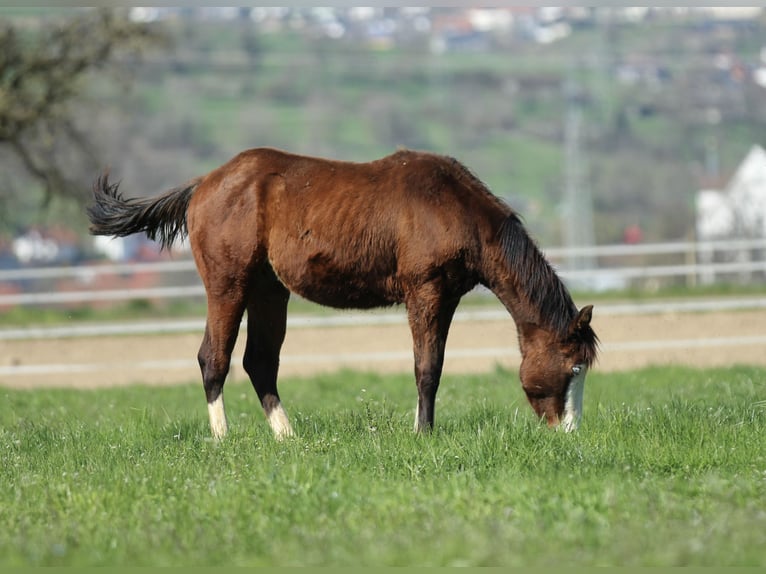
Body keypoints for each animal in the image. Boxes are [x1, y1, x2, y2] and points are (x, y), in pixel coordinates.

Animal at [88, 147, 598, 439]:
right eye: (573, 367)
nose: (570, 433)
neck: (454, 208)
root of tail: (203, 184)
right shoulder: (425, 292)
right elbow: (427, 369)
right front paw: (423, 435)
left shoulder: (447, 296)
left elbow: (433, 366)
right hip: (228, 286)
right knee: (213, 358)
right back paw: (223, 438)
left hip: (269, 291)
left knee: (259, 362)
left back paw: (288, 437)